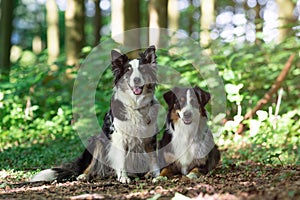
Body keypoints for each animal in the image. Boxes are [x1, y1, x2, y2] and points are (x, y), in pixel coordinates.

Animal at [30, 46, 161, 184]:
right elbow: (121, 160)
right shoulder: (118, 138)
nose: (137, 80)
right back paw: (84, 175)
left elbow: (154, 159)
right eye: (128, 71)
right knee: (91, 166)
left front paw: (157, 175)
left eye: (142, 70)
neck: (136, 104)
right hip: (96, 141)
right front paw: (123, 177)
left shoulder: (150, 138)